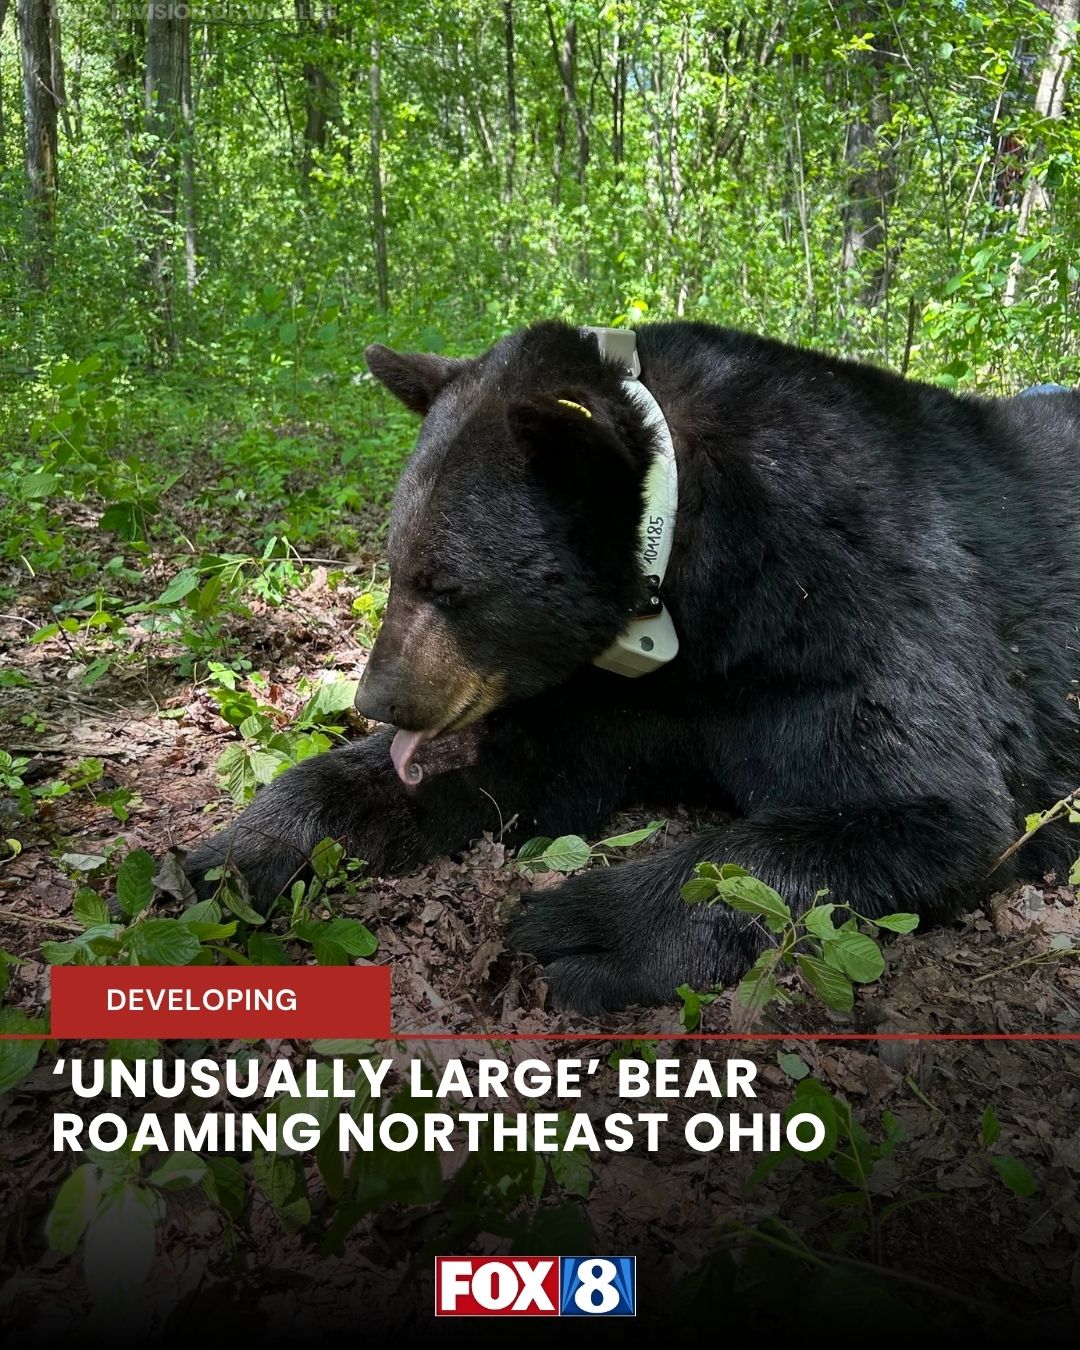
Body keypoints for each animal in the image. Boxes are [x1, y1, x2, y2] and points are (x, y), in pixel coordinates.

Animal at [184, 321, 1080, 1013]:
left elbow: (928, 809)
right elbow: (516, 760)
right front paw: (236, 849)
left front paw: (583, 930)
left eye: (449, 584)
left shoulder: (854, 612)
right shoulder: (610, 688)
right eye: (395, 566)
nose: (382, 697)